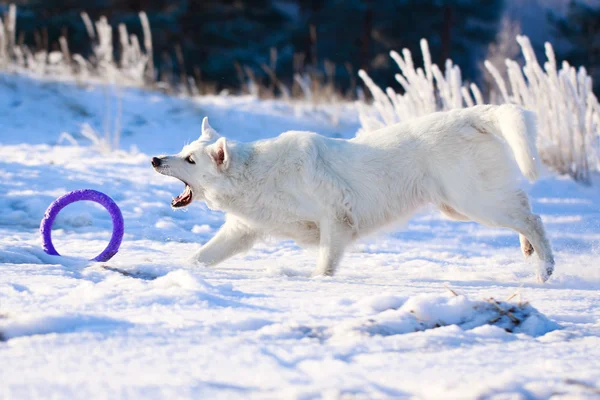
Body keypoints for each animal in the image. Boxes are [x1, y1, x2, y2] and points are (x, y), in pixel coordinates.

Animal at [154, 104, 552, 282]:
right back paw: (529, 251)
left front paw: (319, 284)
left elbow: (324, 265)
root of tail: (469, 115)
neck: (256, 174)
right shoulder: (241, 231)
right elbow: (202, 256)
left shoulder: (335, 219)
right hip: (462, 204)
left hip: (472, 202)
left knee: (532, 217)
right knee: (523, 206)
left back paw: (546, 268)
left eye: (189, 160)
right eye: (184, 151)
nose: (156, 159)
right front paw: (178, 270)